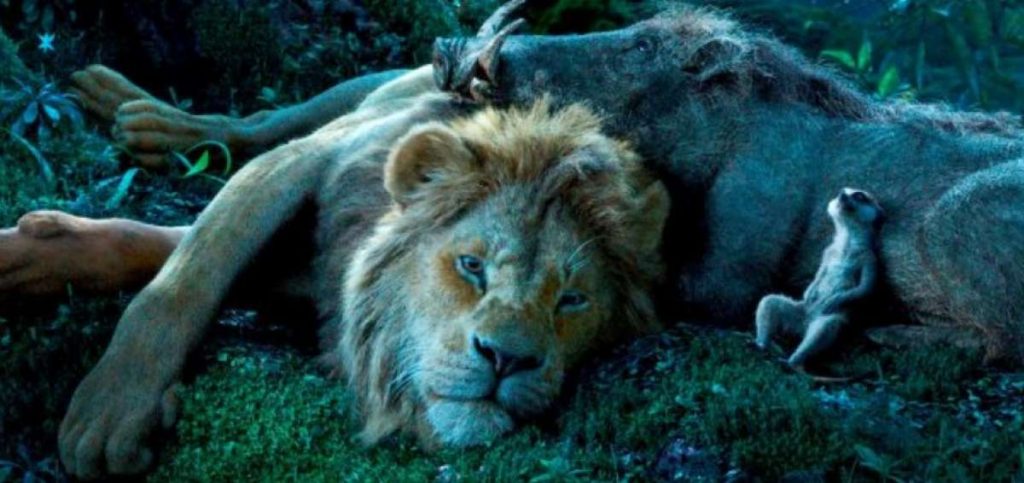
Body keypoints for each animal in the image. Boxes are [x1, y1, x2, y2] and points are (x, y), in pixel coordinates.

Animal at [52, 69, 669, 479]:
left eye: (572, 300)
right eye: (471, 266)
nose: (508, 359)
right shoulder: (300, 163)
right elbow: (186, 276)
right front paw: (113, 410)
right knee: (259, 122)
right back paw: (142, 116)